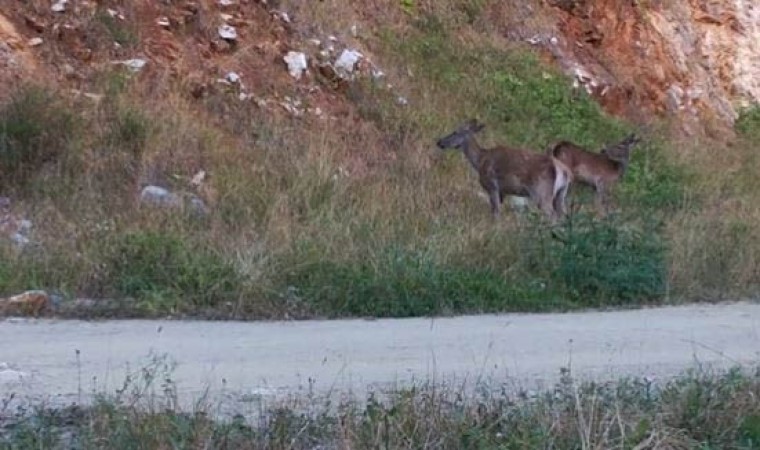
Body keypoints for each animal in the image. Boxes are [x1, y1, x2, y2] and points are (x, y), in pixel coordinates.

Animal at [436, 118, 572, 222]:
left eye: (455, 132)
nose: (439, 142)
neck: (480, 161)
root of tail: (563, 171)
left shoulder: (492, 186)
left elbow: (496, 212)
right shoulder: (502, 192)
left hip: (542, 192)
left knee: (553, 216)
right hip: (560, 194)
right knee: (564, 215)